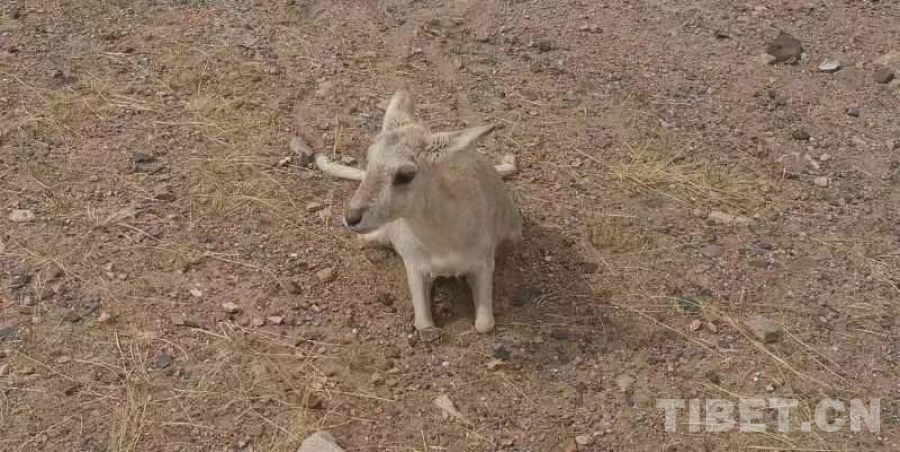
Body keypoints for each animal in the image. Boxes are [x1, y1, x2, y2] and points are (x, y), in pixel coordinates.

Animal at [311, 90, 522, 337]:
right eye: (369, 158)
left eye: (405, 175)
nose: (351, 217)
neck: (442, 240)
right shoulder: (415, 267)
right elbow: (423, 325)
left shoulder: (484, 264)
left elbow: (484, 325)